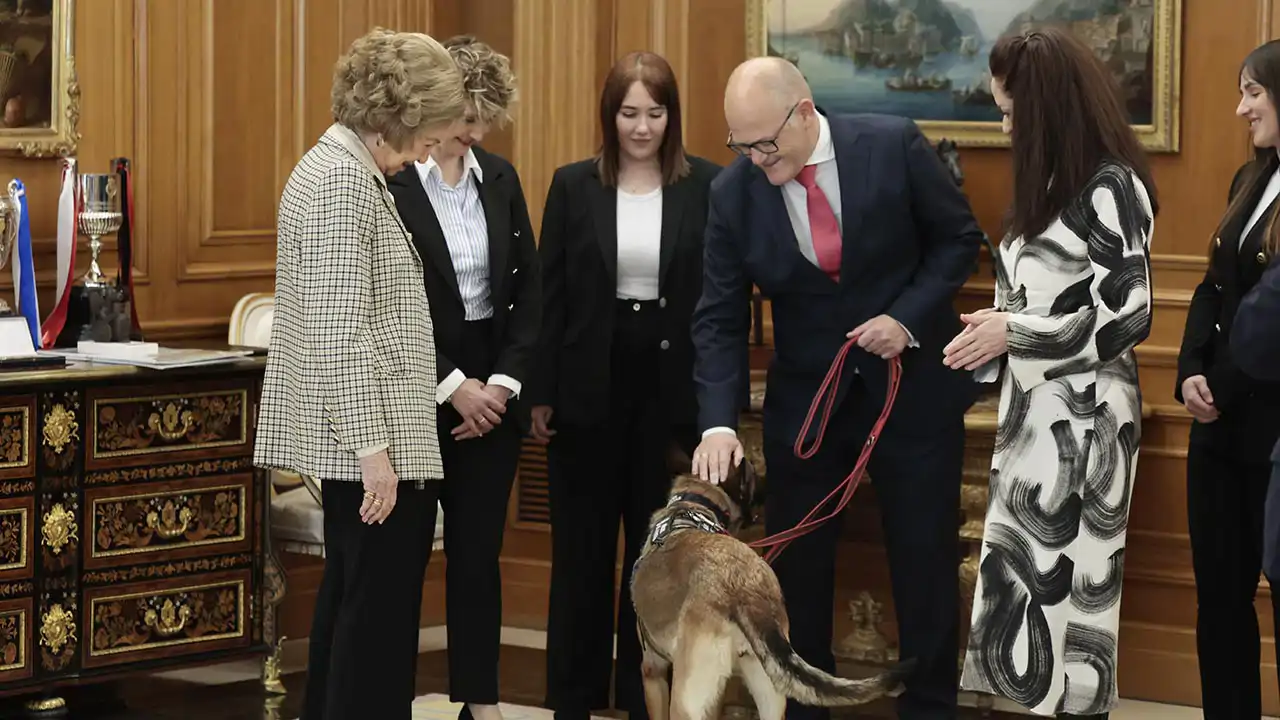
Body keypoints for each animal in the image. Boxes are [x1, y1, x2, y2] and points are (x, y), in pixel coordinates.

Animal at [627, 466, 911, 717]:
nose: (768, 486)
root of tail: (745, 588)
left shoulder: (652, 671)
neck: (691, 510)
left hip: (687, 700)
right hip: (769, 692)